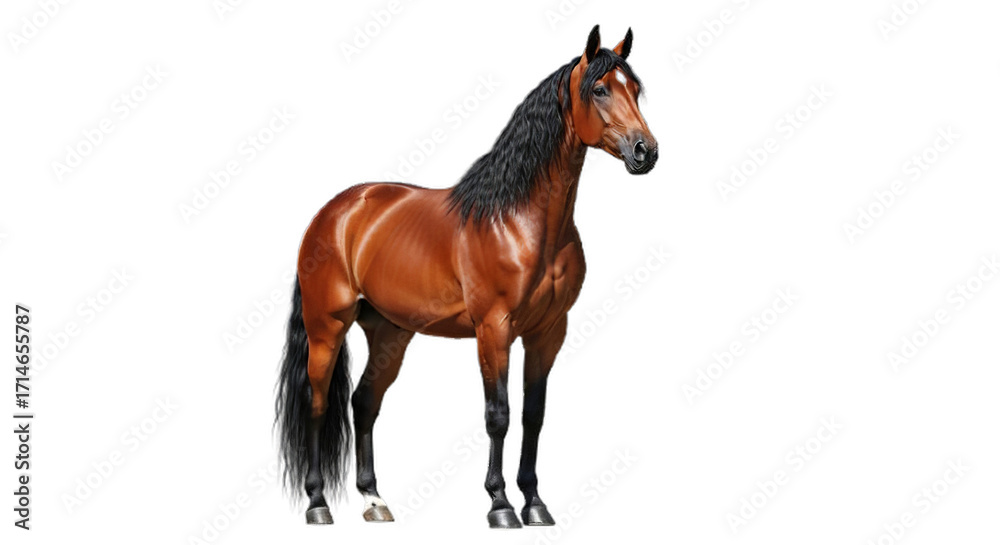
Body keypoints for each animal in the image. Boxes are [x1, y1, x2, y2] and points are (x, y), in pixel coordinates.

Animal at [275, 24, 657, 529]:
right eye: (599, 89)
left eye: (636, 90)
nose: (645, 151)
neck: (518, 220)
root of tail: (333, 213)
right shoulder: (493, 330)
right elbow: (499, 414)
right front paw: (500, 505)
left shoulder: (548, 332)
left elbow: (533, 415)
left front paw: (535, 503)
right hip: (327, 327)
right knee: (318, 404)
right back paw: (318, 503)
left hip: (390, 333)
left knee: (364, 402)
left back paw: (374, 500)